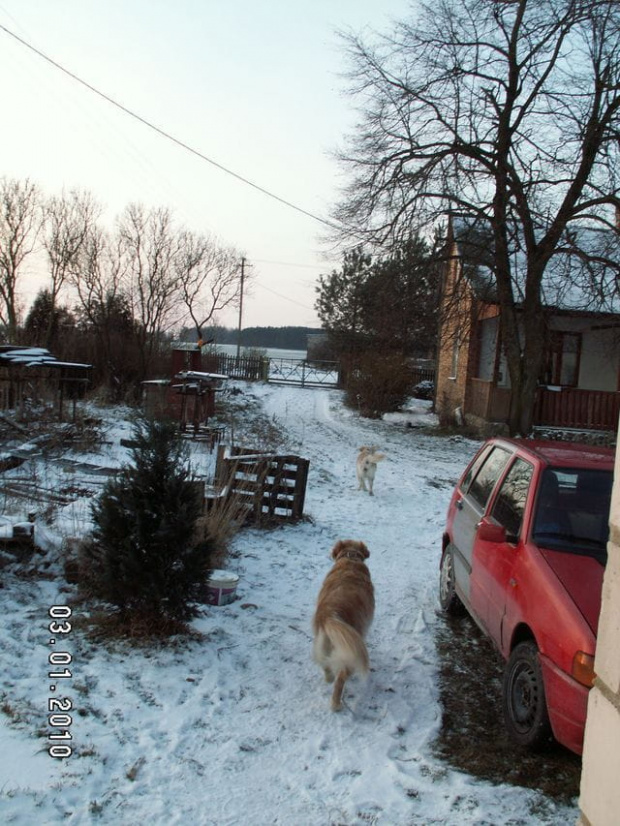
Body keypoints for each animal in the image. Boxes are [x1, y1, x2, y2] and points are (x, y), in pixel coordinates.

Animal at [312, 540, 376, 708]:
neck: (350, 557)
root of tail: (329, 615)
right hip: (350, 652)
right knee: (341, 679)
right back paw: (336, 705)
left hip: (324, 643)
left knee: (325, 664)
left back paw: (329, 678)